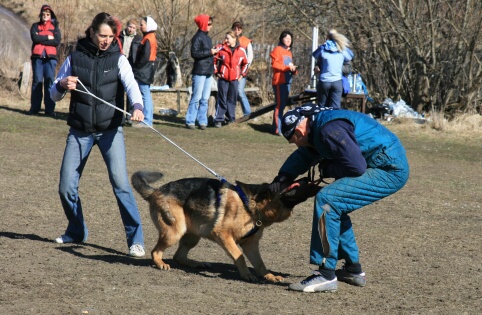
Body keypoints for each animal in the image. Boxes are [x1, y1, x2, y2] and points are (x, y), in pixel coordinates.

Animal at [132, 173, 320, 284]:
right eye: (289, 182)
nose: (308, 177)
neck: (253, 205)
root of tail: (156, 190)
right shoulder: (223, 235)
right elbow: (239, 256)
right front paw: (246, 275)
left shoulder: (251, 245)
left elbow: (260, 263)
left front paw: (269, 276)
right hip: (175, 231)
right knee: (156, 251)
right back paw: (160, 263)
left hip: (193, 235)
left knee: (179, 256)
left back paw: (197, 263)